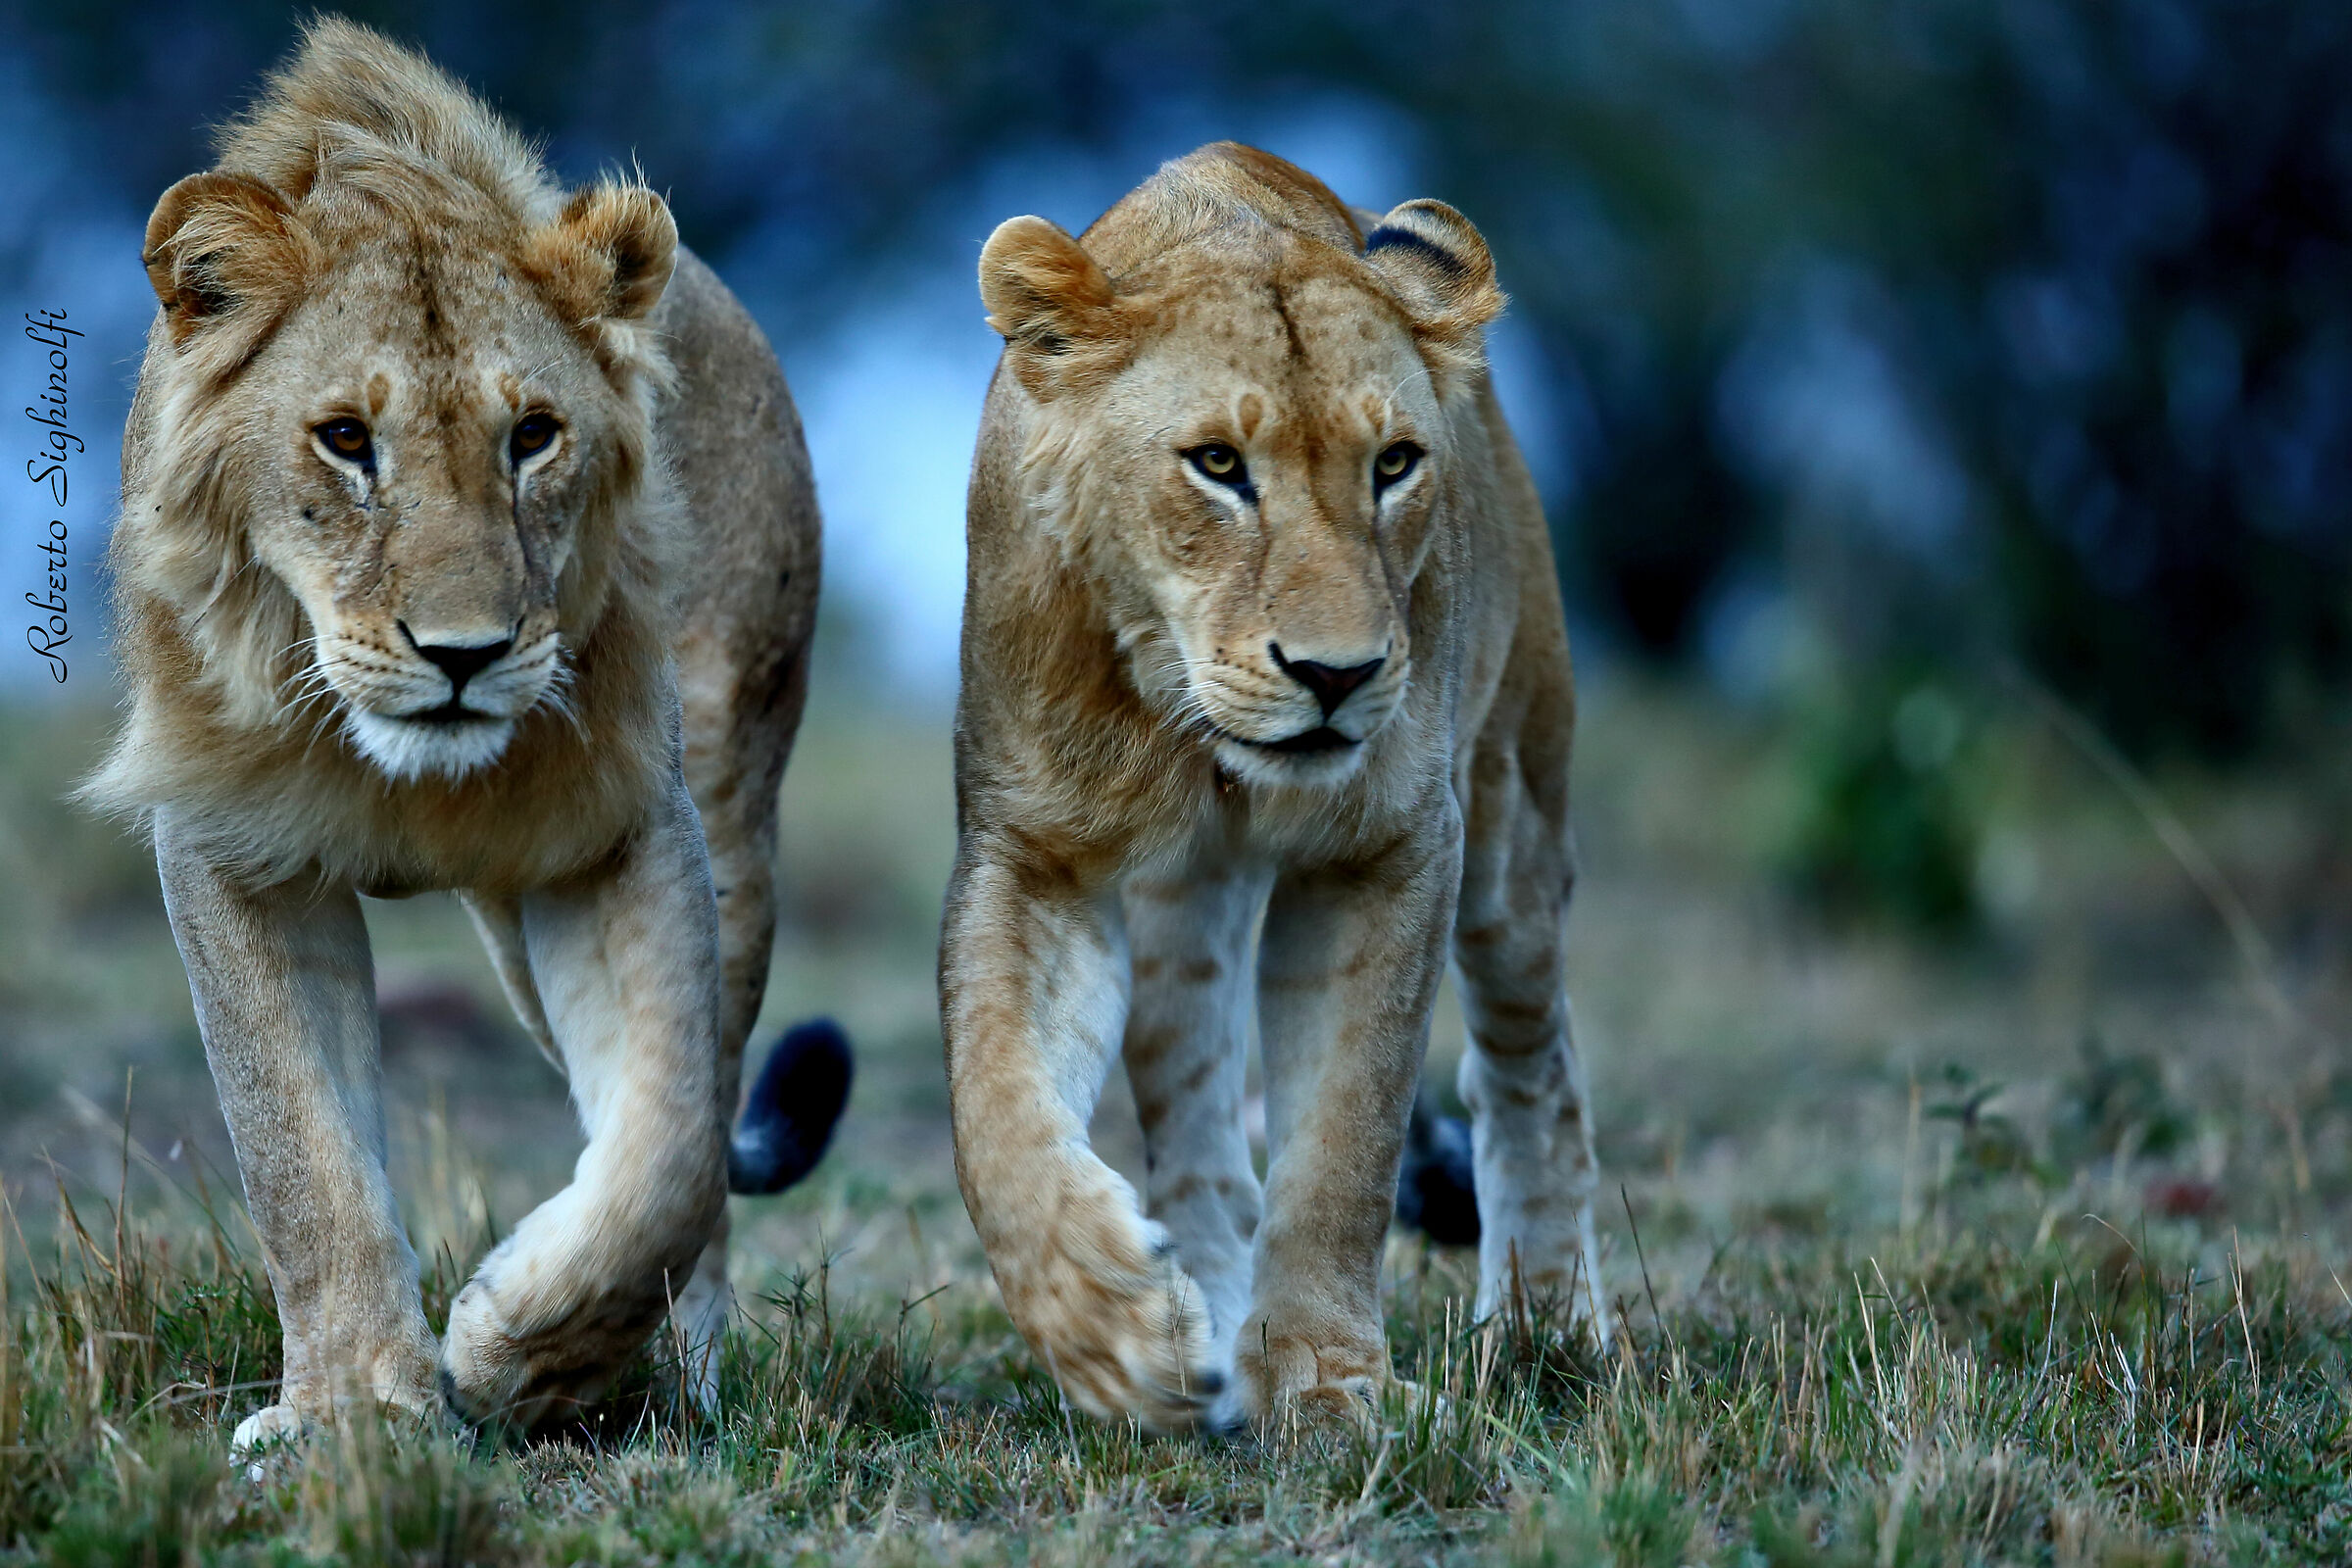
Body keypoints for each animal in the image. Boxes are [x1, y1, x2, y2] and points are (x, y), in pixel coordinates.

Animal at [86, 19, 848, 1449]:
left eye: (532, 437)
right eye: (345, 442)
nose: (464, 655)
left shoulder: (627, 828)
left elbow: (669, 1146)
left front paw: (522, 1353)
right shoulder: (228, 844)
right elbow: (300, 1155)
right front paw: (354, 1417)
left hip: (733, 802)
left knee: (708, 1127)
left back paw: (691, 1389)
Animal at [944, 142, 1606, 1430]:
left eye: (1394, 465)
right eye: (1217, 465)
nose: (1336, 675)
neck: (1187, 728)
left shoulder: (1393, 844)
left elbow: (1346, 1137)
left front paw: (1325, 1385)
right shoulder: (1029, 850)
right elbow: (991, 1088)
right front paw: (1105, 1322)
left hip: (1514, 811)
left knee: (1529, 1065)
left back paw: (1551, 1328)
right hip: (1180, 917)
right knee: (1195, 1112)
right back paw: (1199, 1310)